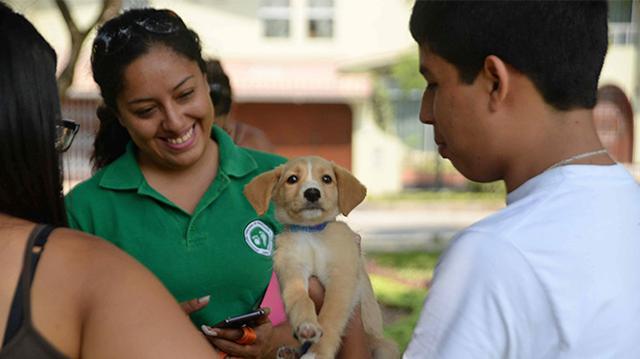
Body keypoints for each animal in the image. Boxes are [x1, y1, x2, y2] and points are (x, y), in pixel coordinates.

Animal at [244, 157, 398, 359]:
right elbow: (301, 300)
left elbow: (330, 315)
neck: (311, 233)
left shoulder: (341, 277)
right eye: (292, 179)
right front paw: (307, 326)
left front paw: (318, 352)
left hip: (384, 348)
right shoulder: (292, 273)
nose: (312, 192)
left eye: (327, 178)